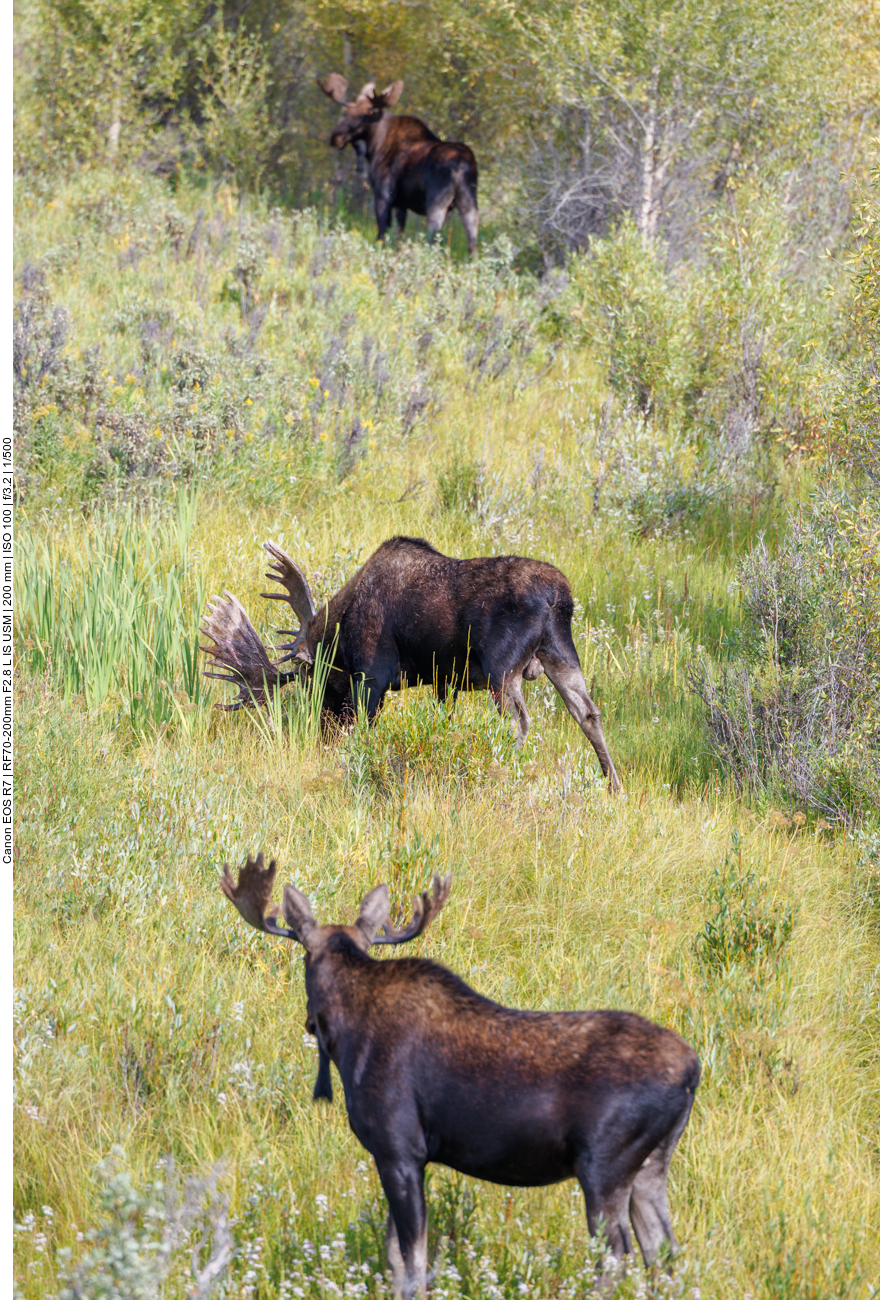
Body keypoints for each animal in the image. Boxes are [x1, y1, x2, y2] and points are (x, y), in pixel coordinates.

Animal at [200, 530, 621, 790]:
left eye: (318, 688)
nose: (323, 737)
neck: (341, 632)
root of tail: (558, 596)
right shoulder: (443, 680)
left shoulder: (372, 675)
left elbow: (366, 728)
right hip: (560, 653)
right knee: (588, 713)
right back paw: (613, 786)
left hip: (503, 668)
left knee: (519, 722)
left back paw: (503, 773)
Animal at [220, 852, 701, 1300]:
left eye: (305, 957)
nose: (308, 1022)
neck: (346, 1034)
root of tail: (693, 1070)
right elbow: (395, 1256)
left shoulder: (400, 1150)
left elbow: (413, 1260)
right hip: (652, 1164)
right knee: (664, 1251)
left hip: (604, 1164)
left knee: (616, 1255)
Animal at [317, 73, 480, 253]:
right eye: (346, 112)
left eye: (365, 115)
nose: (335, 136)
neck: (374, 147)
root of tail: (461, 165)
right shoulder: (402, 204)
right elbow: (397, 234)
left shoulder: (384, 195)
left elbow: (382, 234)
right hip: (469, 202)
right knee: (473, 243)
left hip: (437, 201)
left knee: (432, 237)